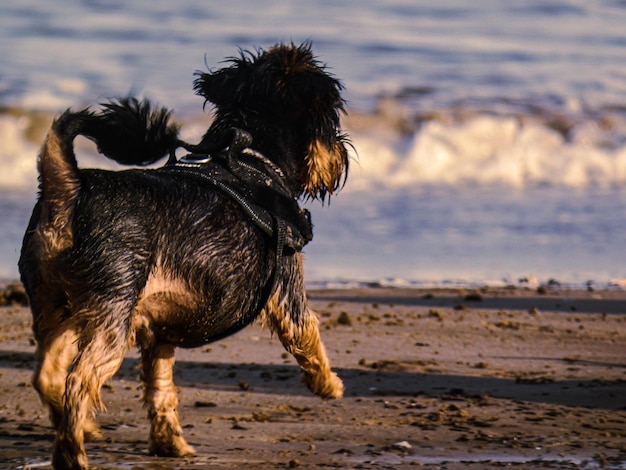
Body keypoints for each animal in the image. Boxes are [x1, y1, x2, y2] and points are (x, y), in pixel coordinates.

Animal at [19, 42, 348, 468]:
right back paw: (72, 451)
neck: (252, 159)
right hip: (111, 313)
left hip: (58, 306)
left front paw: (169, 443)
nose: (341, 154)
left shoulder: (157, 331)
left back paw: (81, 428)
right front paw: (329, 384)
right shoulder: (288, 287)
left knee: (48, 374)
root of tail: (72, 191)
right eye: (331, 120)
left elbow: (161, 389)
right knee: (77, 379)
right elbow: (307, 333)